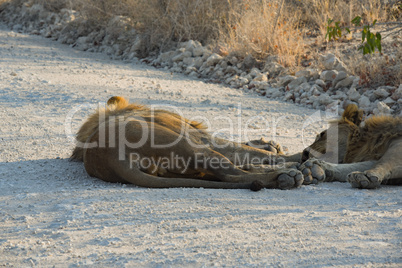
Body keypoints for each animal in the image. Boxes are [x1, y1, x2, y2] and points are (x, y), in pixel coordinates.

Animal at [70, 96, 304, 191]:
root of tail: (110, 157)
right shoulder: (202, 137)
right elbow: (245, 149)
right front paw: (294, 156)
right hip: (191, 147)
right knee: (232, 174)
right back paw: (292, 173)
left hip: (184, 167)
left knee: (227, 173)